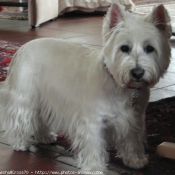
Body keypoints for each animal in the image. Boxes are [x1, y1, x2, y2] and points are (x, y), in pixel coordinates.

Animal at [0, 1, 172, 174]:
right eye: (124, 48)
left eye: (150, 48)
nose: (137, 72)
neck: (118, 85)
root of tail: (22, 48)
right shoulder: (92, 122)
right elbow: (93, 146)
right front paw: (94, 168)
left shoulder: (134, 118)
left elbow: (132, 139)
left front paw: (135, 160)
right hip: (25, 94)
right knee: (20, 117)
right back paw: (20, 142)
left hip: (44, 99)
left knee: (40, 118)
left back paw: (45, 137)